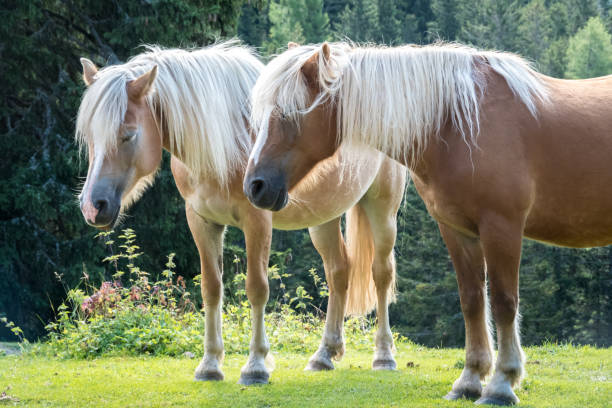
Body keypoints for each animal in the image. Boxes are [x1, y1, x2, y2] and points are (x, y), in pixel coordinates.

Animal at [74, 41, 406, 386]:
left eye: (128, 134)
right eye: (89, 135)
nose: (93, 206)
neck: (227, 140)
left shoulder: (256, 221)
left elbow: (257, 288)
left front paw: (256, 365)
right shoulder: (201, 221)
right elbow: (211, 289)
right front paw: (209, 364)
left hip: (382, 209)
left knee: (381, 273)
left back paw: (384, 355)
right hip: (324, 217)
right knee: (339, 271)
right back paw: (324, 354)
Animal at [243, 39, 608, 404]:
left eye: (287, 113)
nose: (254, 186)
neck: (460, 124)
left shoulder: (501, 228)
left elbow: (504, 302)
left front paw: (502, 383)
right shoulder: (457, 230)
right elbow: (472, 300)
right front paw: (470, 379)